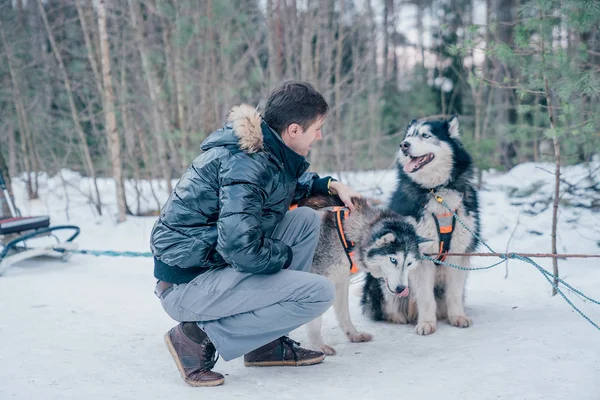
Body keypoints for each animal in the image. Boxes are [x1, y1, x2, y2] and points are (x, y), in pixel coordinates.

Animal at [300, 195, 426, 354]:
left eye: (409, 263)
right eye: (393, 260)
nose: (401, 289)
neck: (350, 239)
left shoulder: (341, 282)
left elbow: (344, 314)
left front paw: (354, 335)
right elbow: (315, 321)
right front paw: (318, 346)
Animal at [360, 115, 482, 334]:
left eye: (426, 135)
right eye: (408, 136)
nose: (404, 145)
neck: (436, 190)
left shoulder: (458, 252)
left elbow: (454, 293)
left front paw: (458, 317)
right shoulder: (420, 256)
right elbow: (425, 297)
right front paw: (426, 323)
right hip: (383, 280)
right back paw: (399, 317)